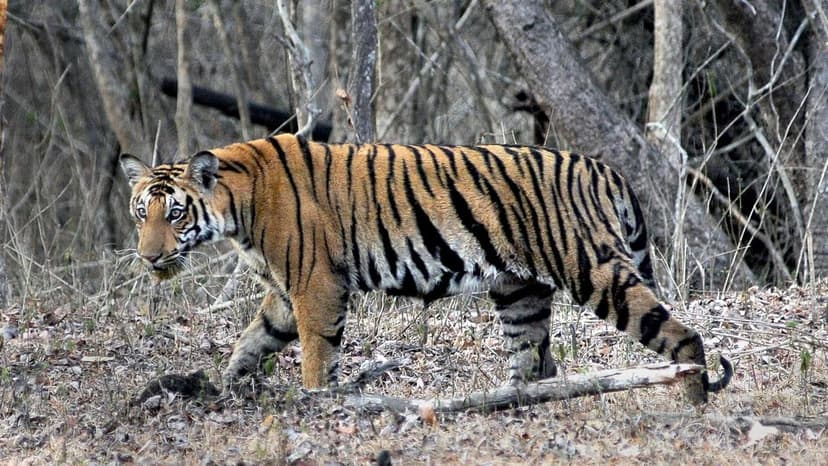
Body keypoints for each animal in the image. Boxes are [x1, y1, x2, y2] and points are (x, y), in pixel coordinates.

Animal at [120, 133, 732, 403]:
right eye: (141, 212)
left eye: (175, 214)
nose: (148, 256)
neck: (236, 206)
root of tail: (604, 168)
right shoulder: (284, 293)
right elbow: (253, 338)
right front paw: (228, 385)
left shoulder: (315, 284)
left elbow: (316, 354)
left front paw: (315, 404)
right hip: (520, 292)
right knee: (534, 365)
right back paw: (505, 406)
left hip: (594, 270)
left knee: (683, 337)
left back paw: (692, 407)